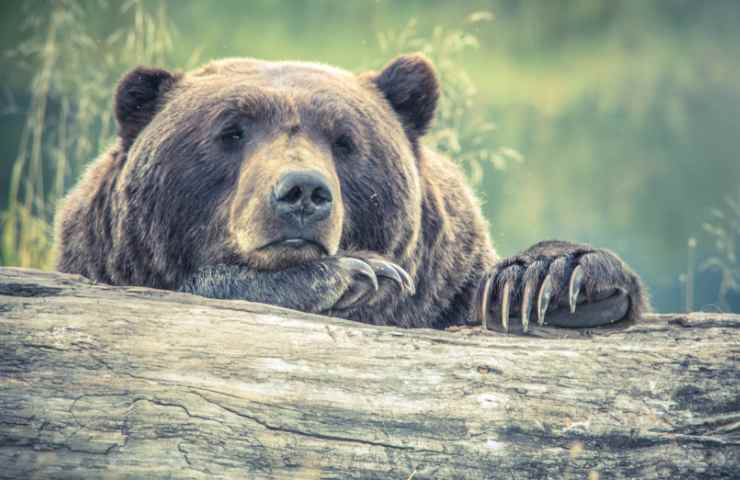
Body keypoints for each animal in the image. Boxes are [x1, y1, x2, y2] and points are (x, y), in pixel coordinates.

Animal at [53, 51, 648, 330]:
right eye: (231, 132)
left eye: (344, 140)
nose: (302, 192)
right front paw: (354, 273)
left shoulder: (444, 286)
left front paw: (550, 280)